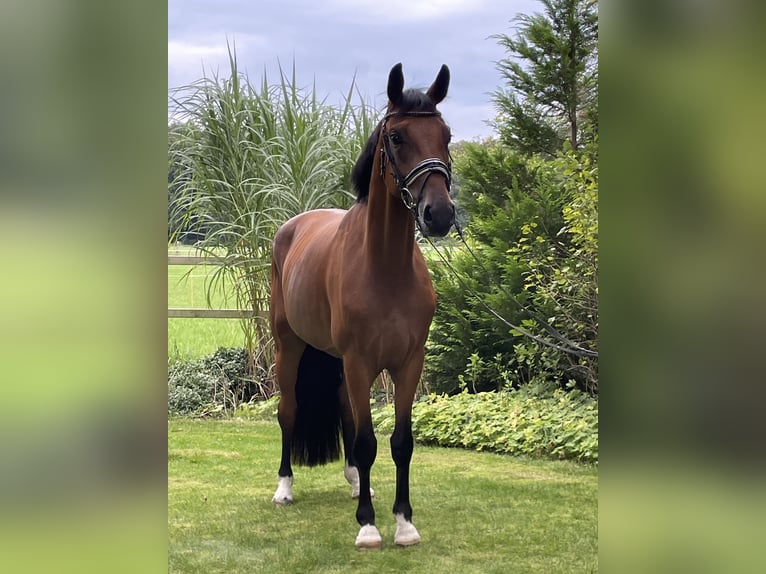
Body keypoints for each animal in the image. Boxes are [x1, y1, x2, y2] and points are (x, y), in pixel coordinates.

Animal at [270, 62, 456, 548]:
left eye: (446, 135)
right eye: (397, 137)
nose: (439, 214)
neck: (386, 269)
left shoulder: (408, 363)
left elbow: (400, 442)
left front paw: (404, 523)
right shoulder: (359, 361)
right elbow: (368, 441)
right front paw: (369, 526)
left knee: (345, 414)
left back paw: (357, 482)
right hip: (289, 347)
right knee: (288, 411)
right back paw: (284, 488)